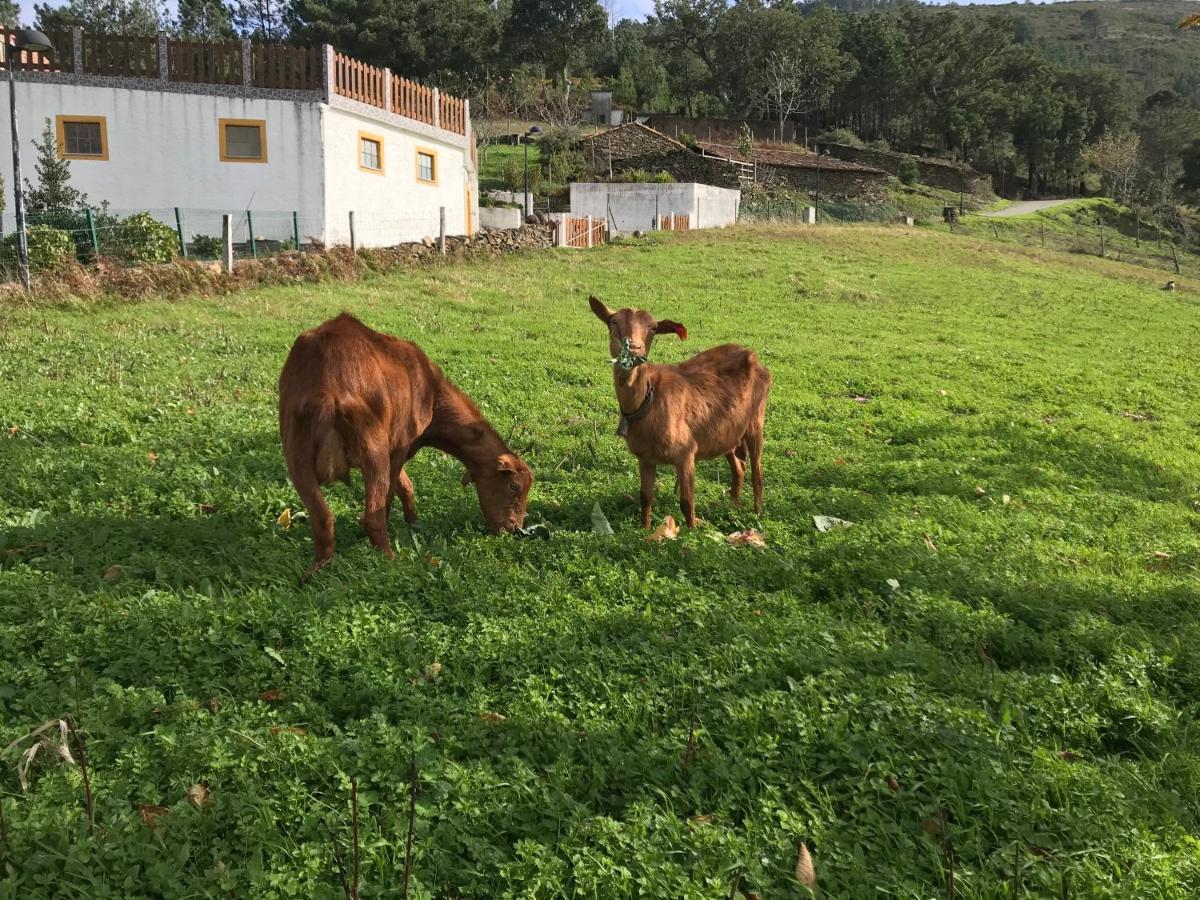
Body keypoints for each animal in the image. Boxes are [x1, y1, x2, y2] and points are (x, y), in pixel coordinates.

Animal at [280, 314, 535, 578]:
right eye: (514, 486)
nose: (513, 528)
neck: (432, 392)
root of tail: (327, 387)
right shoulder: (399, 446)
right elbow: (394, 493)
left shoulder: (396, 446)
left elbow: (406, 485)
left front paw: (414, 523)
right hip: (373, 450)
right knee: (372, 517)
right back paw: (391, 561)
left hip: (296, 451)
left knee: (322, 518)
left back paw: (316, 571)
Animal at [588, 300, 772, 528]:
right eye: (613, 321)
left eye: (653, 328)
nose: (634, 349)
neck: (649, 402)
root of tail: (753, 356)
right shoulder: (645, 458)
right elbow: (645, 497)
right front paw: (644, 529)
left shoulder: (686, 453)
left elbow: (687, 503)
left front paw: (691, 532)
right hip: (728, 432)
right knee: (738, 468)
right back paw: (733, 505)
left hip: (756, 420)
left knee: (757, 473)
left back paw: (756, 515)